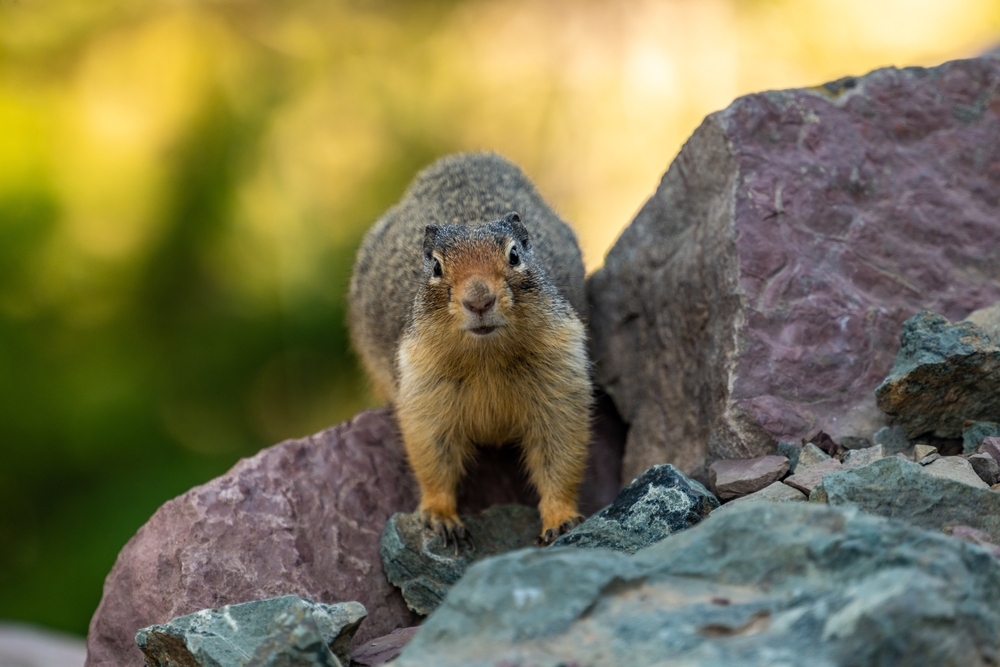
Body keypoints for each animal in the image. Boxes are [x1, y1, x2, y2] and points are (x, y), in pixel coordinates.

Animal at [348, 152, 592, 546]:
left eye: (514, 255)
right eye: (435, 265)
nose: (479, 300)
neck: (486, 357)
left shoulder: (561, 383)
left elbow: (560, 456)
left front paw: (561, 520)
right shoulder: (424, 394)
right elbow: (433, 461)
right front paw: (440, 519)